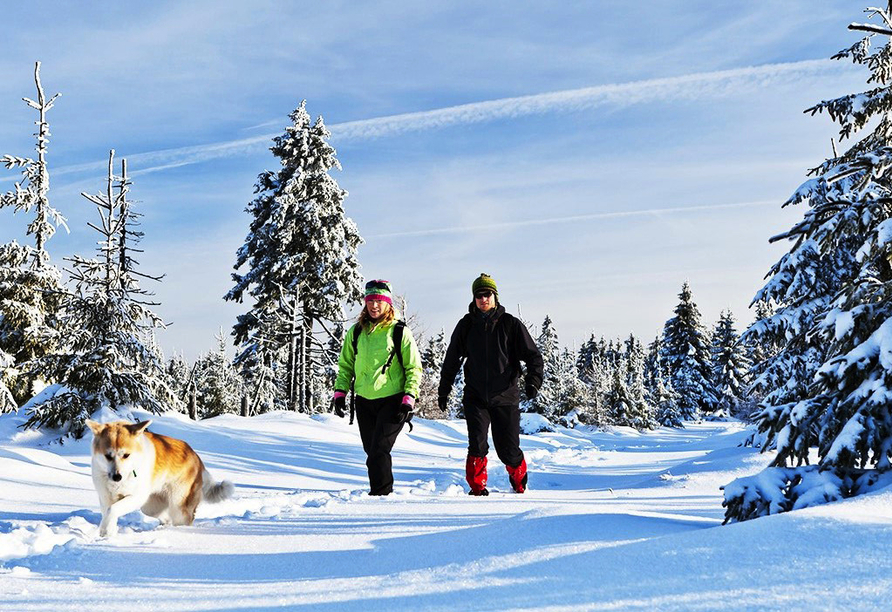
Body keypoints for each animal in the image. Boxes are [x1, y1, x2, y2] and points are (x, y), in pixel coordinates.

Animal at [86, 420, 233, 536]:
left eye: (126, 455)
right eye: (108, 456)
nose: (117, 476)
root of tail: (196, 457)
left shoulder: (136, 497)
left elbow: (113, 510)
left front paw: (105, 531)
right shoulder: (105, 498)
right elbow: (108, 512)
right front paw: (108, 532)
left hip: (178, 506)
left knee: (183, 519)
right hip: (151, 506)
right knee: (165, 518)